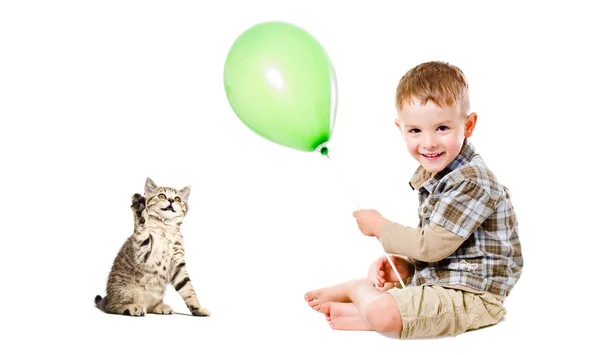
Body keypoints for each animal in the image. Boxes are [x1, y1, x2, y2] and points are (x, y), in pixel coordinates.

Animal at [96, 178, 211, 318]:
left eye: (178, 199)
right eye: (162, 196)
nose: (171, 200)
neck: (166, 228)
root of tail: (108, 299)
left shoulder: (178, 263)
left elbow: (188, 288)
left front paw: (198, 308)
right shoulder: (144, 252)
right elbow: (142, 229)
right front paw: (140, 210)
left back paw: (159, 306)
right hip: (123, 292)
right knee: (113, 307)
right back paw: (132, 307)